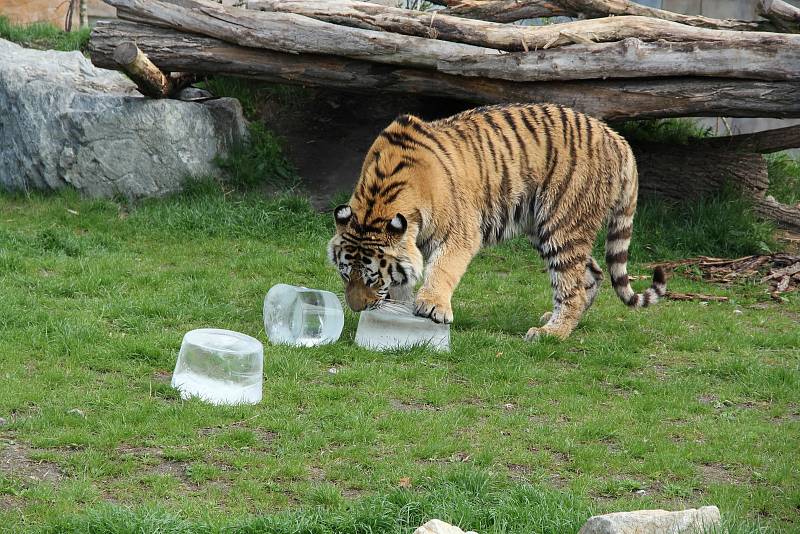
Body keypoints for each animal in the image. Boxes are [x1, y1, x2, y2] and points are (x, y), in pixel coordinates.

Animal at [328, 102, 664, 342]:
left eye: (373, 279)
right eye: (345, 275)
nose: (357, 308)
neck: (378, 198)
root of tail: (617, 139)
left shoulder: (461, 231)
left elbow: (443, 267)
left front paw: (433, 306)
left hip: (562, 223)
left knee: (571, 284)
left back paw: (552, 333)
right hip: (545, 227)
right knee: (591, 272)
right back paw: (561, 320)